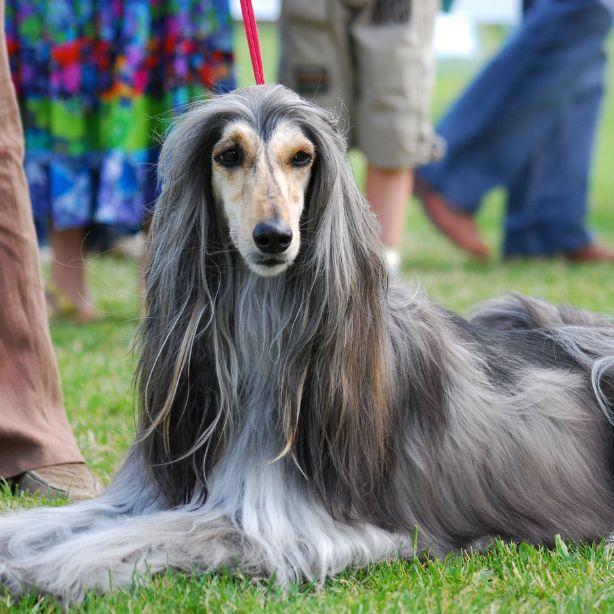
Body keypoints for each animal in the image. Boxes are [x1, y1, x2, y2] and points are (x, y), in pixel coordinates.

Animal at [1, 84, 614, 604]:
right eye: (228, 154)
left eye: (302, 157)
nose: (274, 238)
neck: (263, 329)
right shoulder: (147, 492)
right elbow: (46, 520)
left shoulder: (292, 526)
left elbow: (153, 533)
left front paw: (50, 569)